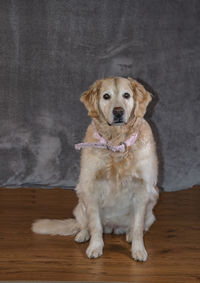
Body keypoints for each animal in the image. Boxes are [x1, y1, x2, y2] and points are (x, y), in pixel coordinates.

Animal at [32, 77, 159, 262]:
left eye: (126, 95)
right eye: (106, 96)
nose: (118, 112)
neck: (116, 145)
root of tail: (113, 227)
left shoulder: (142, 190)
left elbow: (137, 227)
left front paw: (138, 250)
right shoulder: (91, 188)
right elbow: (95, 225)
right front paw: (95, 247)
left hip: (150, 210)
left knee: (137, 227)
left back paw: (128, 235)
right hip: (81, 202)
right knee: (84, 225)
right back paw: (82, 235)